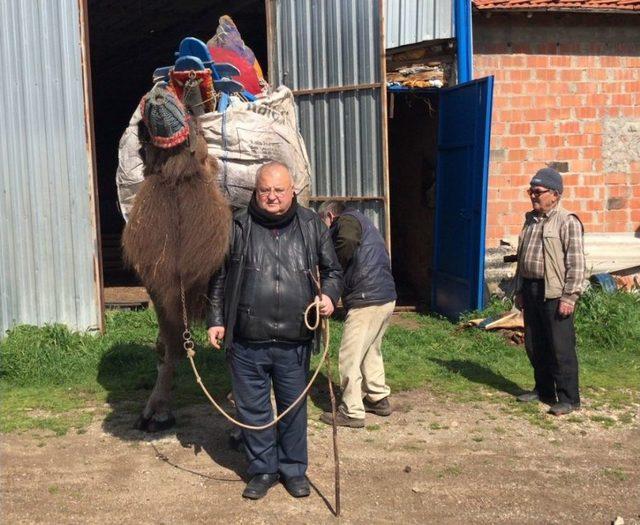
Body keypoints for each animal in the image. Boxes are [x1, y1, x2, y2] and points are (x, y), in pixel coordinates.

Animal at [121, 84, 231, 432]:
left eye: (197, 125)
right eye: (144, 143)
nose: (157, 94)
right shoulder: (159, 286)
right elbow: (168, 345)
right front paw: (155, 413)